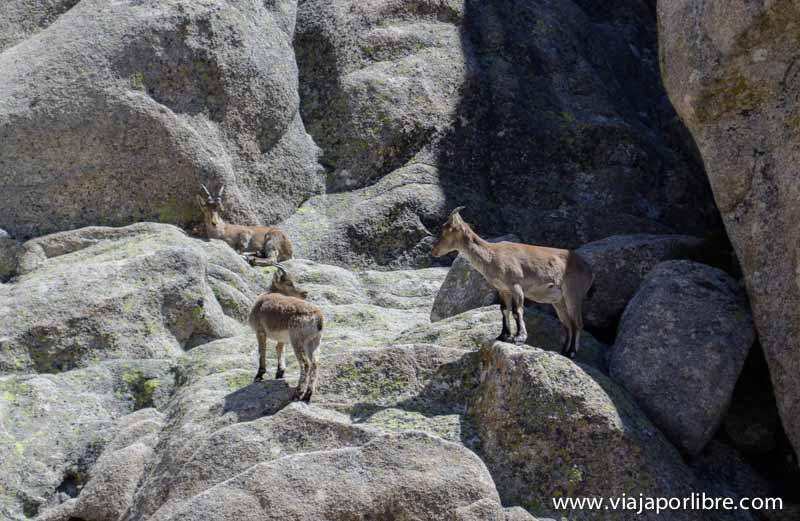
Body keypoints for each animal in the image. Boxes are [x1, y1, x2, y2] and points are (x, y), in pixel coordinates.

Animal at [248, 264, 324, 402]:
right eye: (289, 282)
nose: (304, 293)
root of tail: (318, 318)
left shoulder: (260, 331)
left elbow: (262, 351)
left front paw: (259, 375)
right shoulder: (282, 338)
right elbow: (279, 349)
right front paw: (279, 373)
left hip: (297, 340)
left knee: (306, 363)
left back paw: (298, 393)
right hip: (314, 341)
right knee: (315, 363)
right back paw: (308, 394)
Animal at [431, 207, 594, 359]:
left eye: (446, 231)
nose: (434, 251)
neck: (491, 255)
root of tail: (589, 270)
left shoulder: (515, 285)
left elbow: (517, 311)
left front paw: (519, 338)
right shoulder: (503, 289)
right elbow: (504, 309)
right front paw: (503, 336)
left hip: (573, 293)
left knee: (577, 323)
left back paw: (572, 352)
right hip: (559, 300)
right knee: (567, 324)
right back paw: (564, 351)